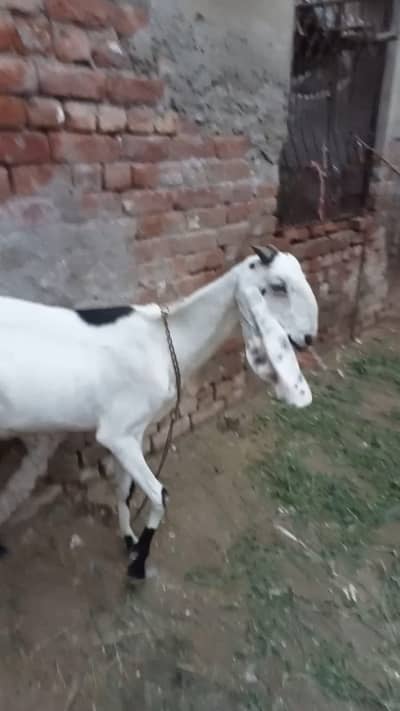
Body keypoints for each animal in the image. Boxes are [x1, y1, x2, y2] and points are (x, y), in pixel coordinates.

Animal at [0, 245, 318, 579]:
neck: (162, 344)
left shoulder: (134, 432)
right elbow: (160, 495)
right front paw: (139, 562)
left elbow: (123, 491)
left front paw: (129, 540)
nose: (308, 337)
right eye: (278, 286)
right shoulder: (116, 433)